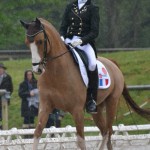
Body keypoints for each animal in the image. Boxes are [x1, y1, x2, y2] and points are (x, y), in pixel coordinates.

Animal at [20, 18, 150, 149]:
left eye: (40, 41)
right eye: (27, 43)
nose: (37, 69)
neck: (56, 72)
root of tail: (112, 63)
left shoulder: (77, 110)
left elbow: (81, 139)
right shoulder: (45, 106)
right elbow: (37, 132)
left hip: (112, 102)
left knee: (109, 130)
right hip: (97, 108)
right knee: (105, 131)